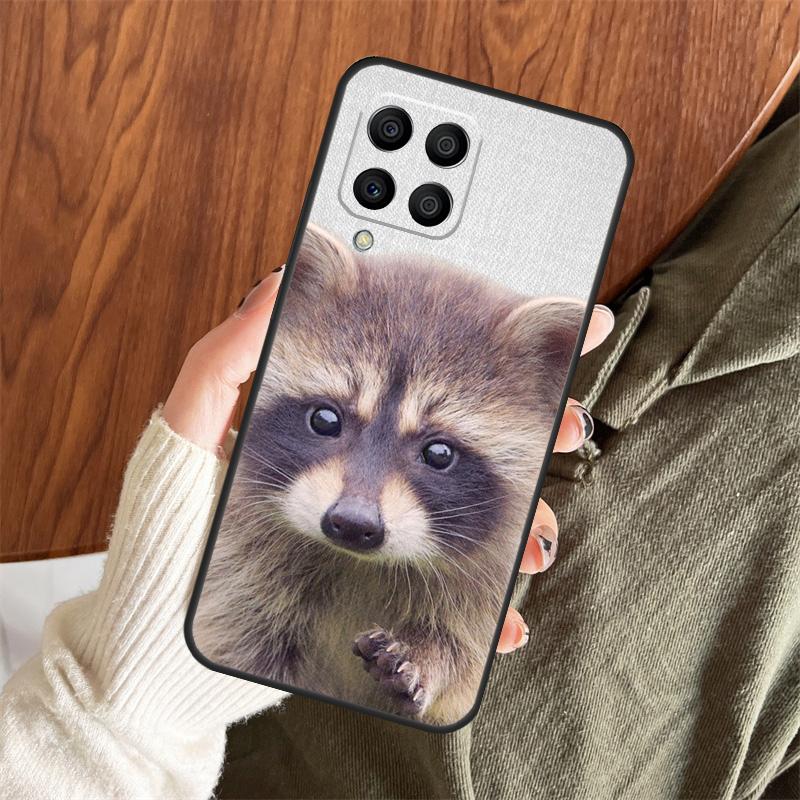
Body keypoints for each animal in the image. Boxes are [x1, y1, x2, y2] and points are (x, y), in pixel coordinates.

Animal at [192, 224, 583, 725]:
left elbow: (461, 655)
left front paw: (429, 660)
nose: (352, 524)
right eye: (325, 419)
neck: (358, 563)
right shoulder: (244, 569)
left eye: (439, 453)